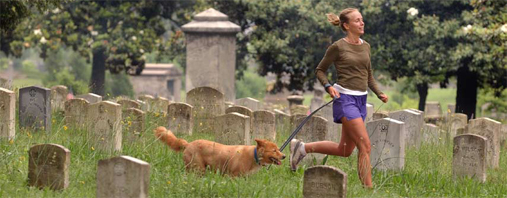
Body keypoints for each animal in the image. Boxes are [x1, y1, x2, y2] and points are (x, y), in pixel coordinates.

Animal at [155, 127, 286, 176]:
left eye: (278, 150)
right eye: (274, 151)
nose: (284, 156)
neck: (253, 156)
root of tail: (188, 144)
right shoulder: (234, 176)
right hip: (198, 169)